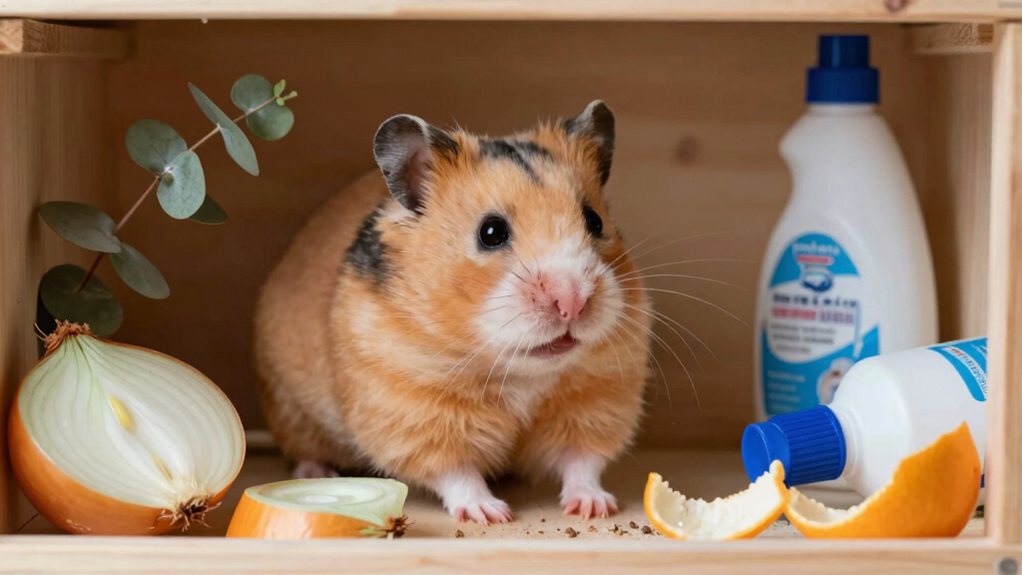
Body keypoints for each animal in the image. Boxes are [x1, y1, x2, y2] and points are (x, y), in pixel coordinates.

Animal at [254, 101, 652, 524]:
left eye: (594, 221)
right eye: (491, 232)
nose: (572, 301)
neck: (518, 369)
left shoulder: (598, 397)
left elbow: (582, 461)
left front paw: (594, 508)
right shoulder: (413, 408)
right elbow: (456, 471)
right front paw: (491, 514)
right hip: (290, 409)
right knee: (304, 451)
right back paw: (319, 473)